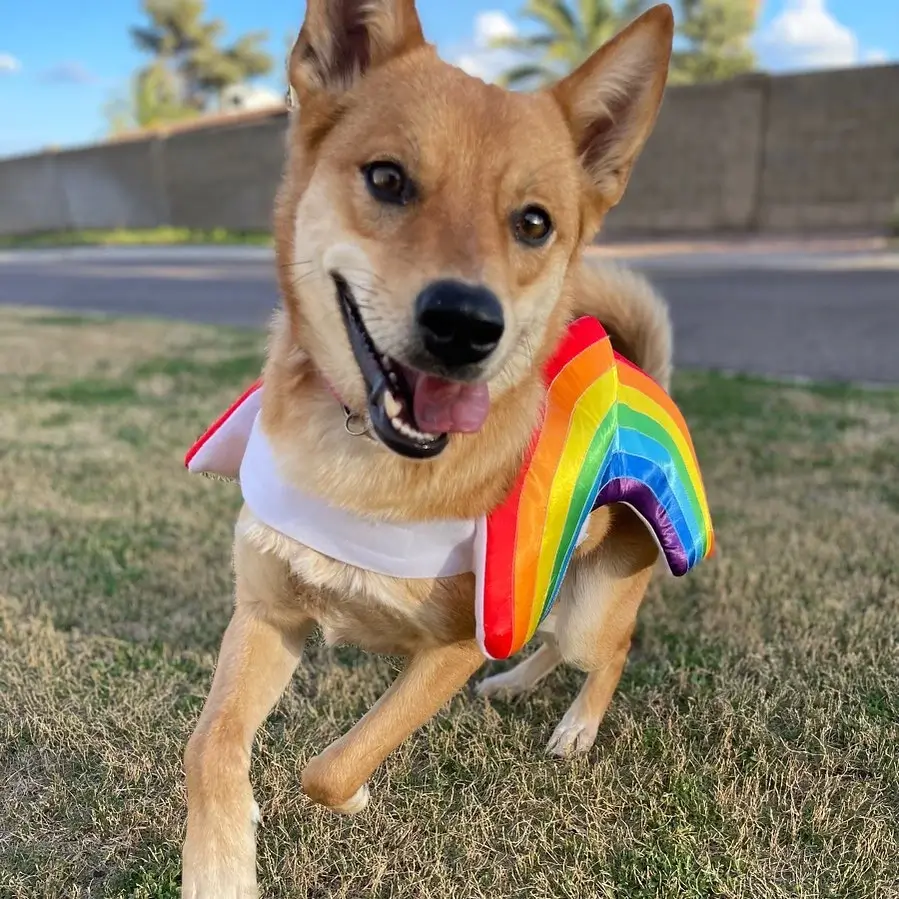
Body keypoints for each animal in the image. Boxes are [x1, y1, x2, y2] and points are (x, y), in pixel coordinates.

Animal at [181, 3, 676, 896]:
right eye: (385, 179)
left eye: (533, 223)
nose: (466, 325)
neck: (362, 467)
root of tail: (642, 377)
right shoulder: (267, 612)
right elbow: (208, 746)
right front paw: (222, 854)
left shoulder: (449, 647)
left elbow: (335, 764)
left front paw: (354, 794)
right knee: (543, 641)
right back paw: (511, 684)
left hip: (594, 599)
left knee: (604, 650)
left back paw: (576, 726)